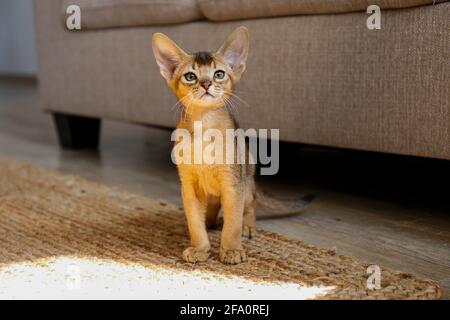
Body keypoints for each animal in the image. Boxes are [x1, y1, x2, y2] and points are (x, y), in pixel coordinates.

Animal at [151, 27, 312, 264]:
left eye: (219, 74)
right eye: (191, 76)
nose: (206, 84)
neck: (205, 125)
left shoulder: (232, 183)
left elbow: (232, 223)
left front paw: (232, 249)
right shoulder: (189, 185)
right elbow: (194, 221)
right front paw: (200, 247)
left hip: (245, 182)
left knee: (251, 205)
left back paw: (248, 227)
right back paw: (209, 223)